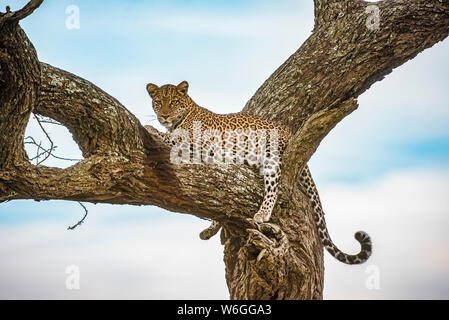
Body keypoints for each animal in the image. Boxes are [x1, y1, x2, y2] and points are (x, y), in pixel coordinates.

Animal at [144, 80, 372, 264]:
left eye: (174, 102)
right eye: (158, 102)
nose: (164, 116)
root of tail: (289, 133)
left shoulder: (196, 142)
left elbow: (173, 139)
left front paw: (151, 129)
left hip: (271, 158)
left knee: (274, 189)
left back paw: (262, 214)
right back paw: (210, 229)